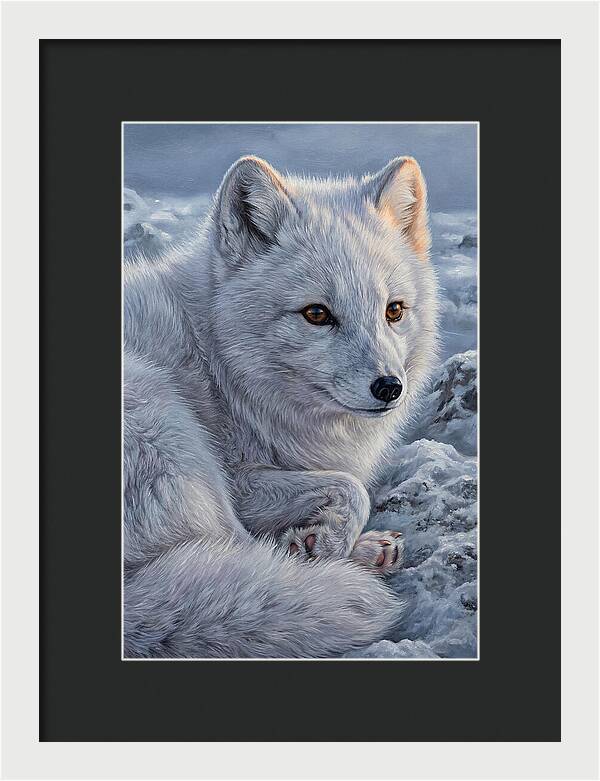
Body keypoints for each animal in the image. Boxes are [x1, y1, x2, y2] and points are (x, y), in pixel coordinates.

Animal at [123, 154, 439, 658]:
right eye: (316, 314)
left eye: (394, 310)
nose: (390, 387)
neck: (218, 363)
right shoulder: (239, 479)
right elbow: (353, 487)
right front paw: (324, 544)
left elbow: (346, 487)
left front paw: (322, 540)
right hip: (167, 426)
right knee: (240, 552)